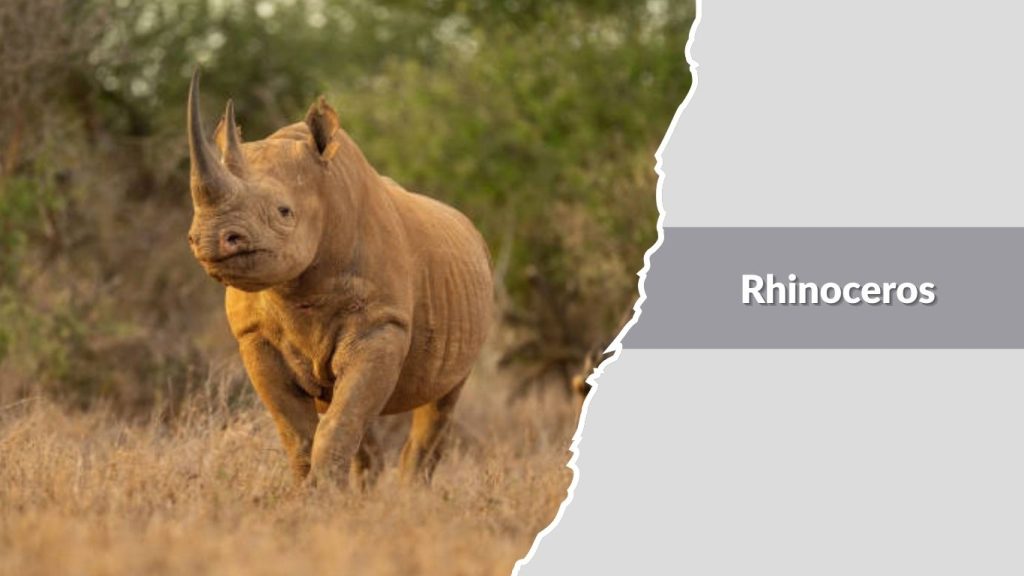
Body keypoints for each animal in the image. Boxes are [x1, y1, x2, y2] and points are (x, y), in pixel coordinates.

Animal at [185, 71, 493, 487]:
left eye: (284, 212)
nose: (209, 238)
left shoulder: (382, 323)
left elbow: (338, 424)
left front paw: (324, 493)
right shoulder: (254, 336)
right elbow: (299, 433)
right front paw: (312, 495)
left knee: (441, 401)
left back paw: (410, 495)